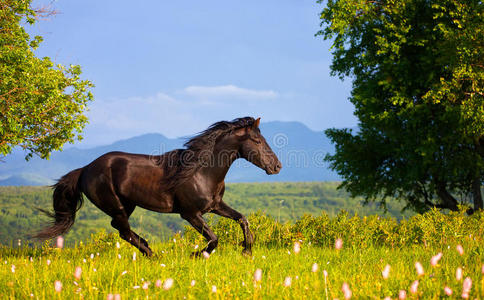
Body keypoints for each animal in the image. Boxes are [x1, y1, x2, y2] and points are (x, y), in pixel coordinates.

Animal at [36, 116, 282, 255]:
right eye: (257, 141)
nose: (277, 166)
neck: (202, 172)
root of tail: (86, 168)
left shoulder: (215, 206)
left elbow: (242, 219)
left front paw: (247, 250)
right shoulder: (190, 214)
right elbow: (213, 239)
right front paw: (196, 255)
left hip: (127, 205)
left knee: (120, 229)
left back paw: (149, 249)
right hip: (116, 205)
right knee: (124, 231)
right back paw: (152, 253)